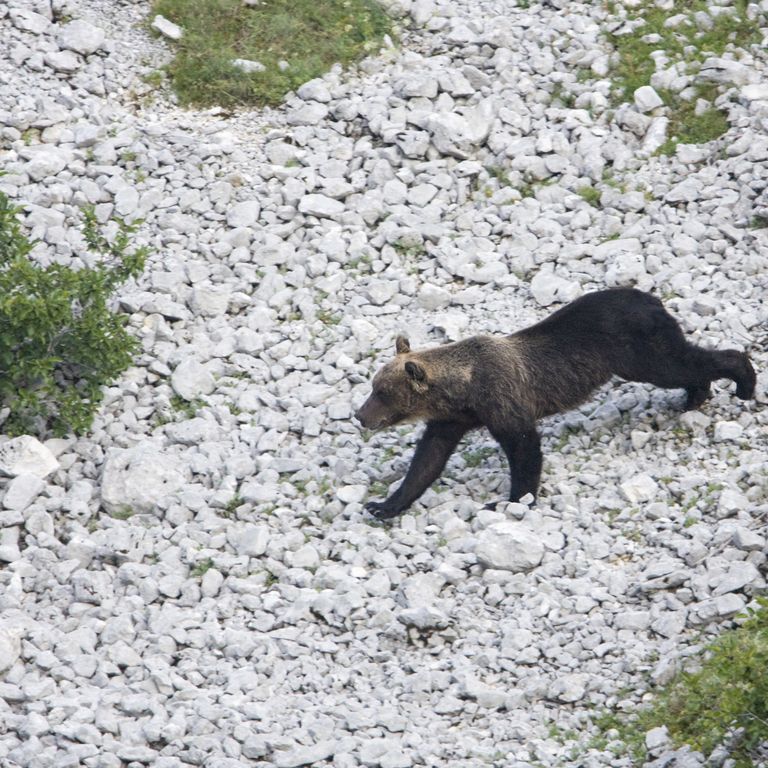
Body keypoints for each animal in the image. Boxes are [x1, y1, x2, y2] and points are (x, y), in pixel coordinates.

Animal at [354, 288, 756, 519]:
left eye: (381, 392)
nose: (359, 415)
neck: (463, 389)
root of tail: (652, 297)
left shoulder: (501, 399)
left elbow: (524, 448)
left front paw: (509, 501)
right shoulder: (453, 418)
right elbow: (428, 459)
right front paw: (383, 504)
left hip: (636, 348)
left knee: (678, 363)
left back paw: (743, 382)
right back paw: (695, 395)